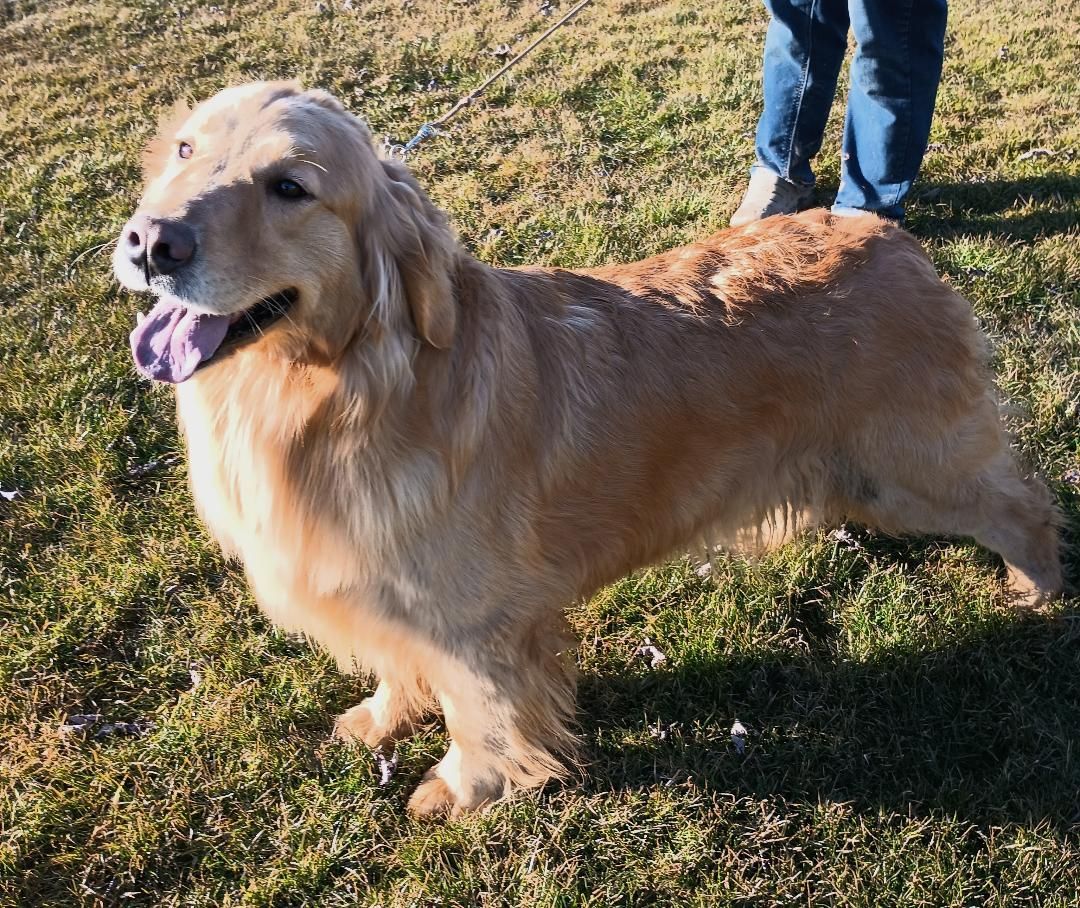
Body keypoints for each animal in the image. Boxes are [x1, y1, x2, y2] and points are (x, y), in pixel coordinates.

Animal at [111, 79, 1062, 816]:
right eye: (185, 150)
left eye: (290, 187)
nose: (151, 242)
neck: (336, 393)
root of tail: (887, 234)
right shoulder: (381, 588)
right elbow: (398, 668)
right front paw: (382, 718)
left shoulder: (480, 625)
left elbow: (483, 715)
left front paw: (465, 789)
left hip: (918, 470)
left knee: (1026, 502)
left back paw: (1039, 589)